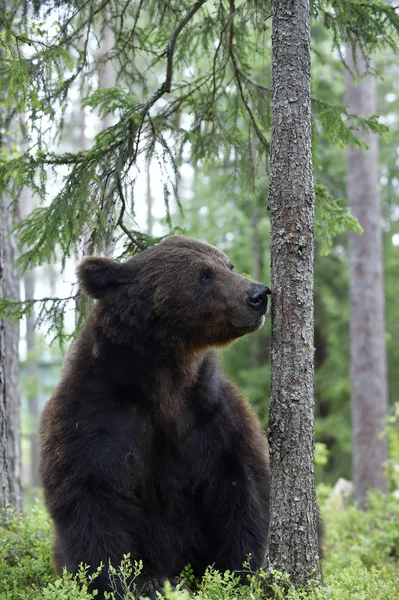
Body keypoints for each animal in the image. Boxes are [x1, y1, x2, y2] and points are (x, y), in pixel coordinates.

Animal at [39, 237, 272, 596]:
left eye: (228, 264)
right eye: (204, 275)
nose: (258, 294)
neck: (165, 376)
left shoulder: (208, 411)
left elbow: (240, 481)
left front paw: (240, 572)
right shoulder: (97, 414)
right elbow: (92, 494)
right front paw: (132, 582)